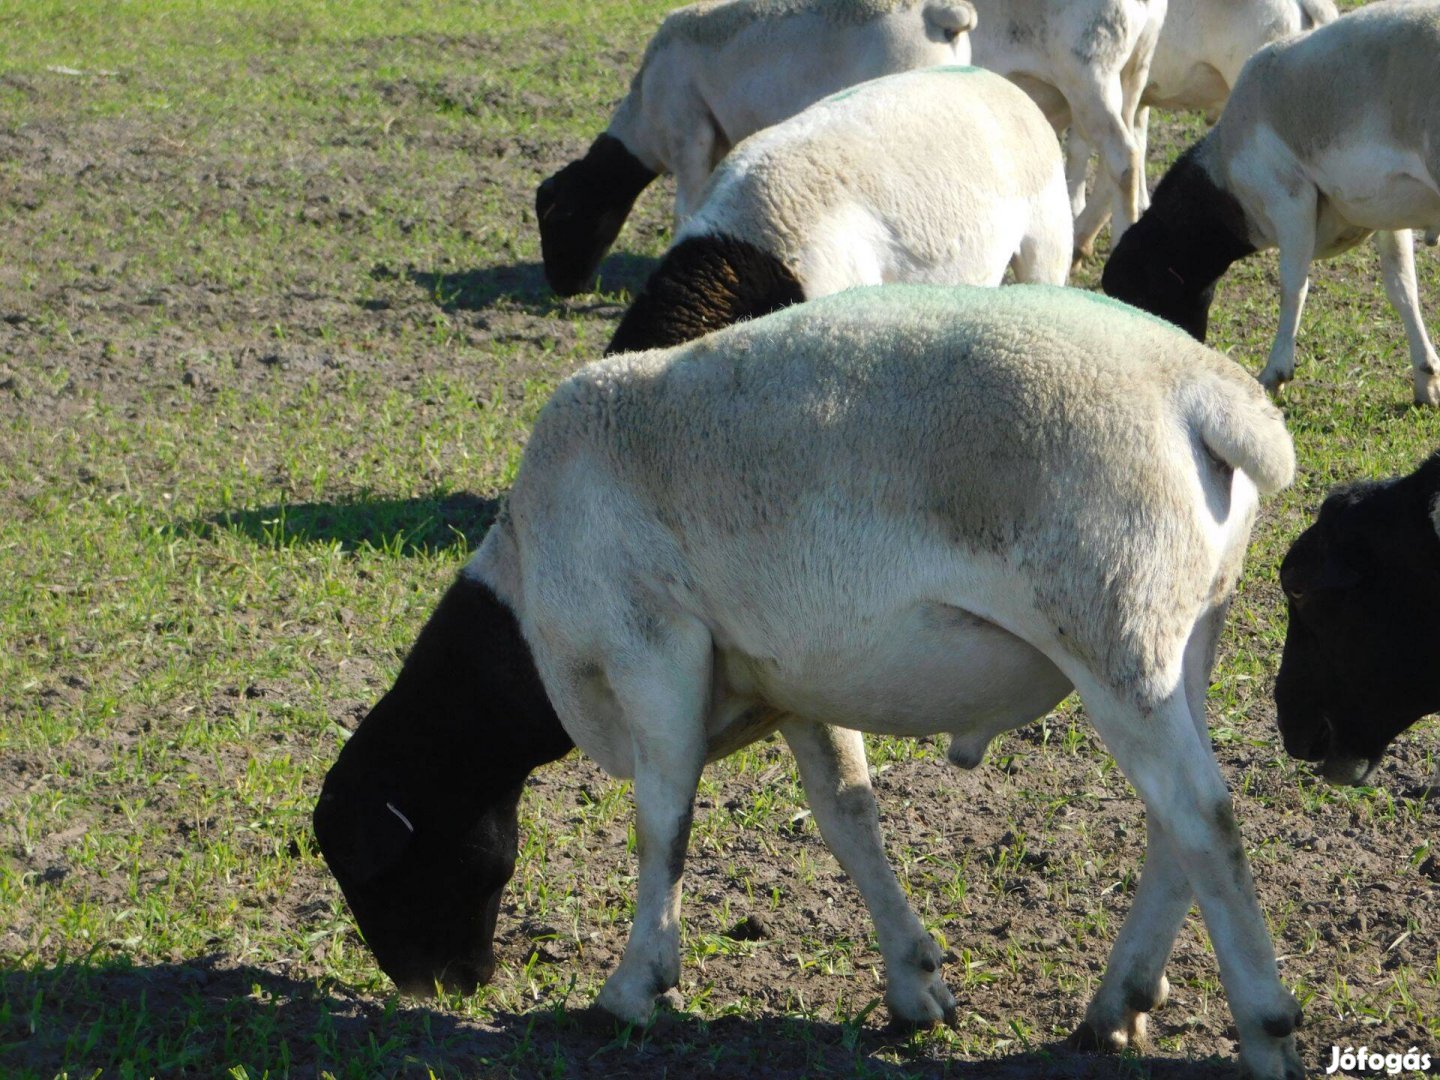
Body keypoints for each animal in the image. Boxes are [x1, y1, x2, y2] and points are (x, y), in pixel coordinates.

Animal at [318, 280, 1307, 1080]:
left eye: (374, 867)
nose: (436, 985)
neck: (527, 587)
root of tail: (1206, 395)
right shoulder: (789, 684)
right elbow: (847, 817)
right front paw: (915, 985)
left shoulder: (654, 650)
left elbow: (661, 825)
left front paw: (635, 988)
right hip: (1187, 632)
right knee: (1174, 830)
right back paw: (1116, 1007)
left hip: (1114, 630)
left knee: (1202, 819)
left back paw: (1263, 1029)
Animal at [535, 0, 973, 296]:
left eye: (562, 214)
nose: (561, 287)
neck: (643, 115)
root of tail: (940, 13)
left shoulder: (687, 133)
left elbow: (685, 211)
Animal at [1100, 1, 1440, 406]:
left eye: (1138, 297)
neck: (1227, 177)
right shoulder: (1384, 213)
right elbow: (1403, 288)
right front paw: (1426, 378)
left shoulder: (1290, 199)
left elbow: (1294, 286)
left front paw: (1275, 373)